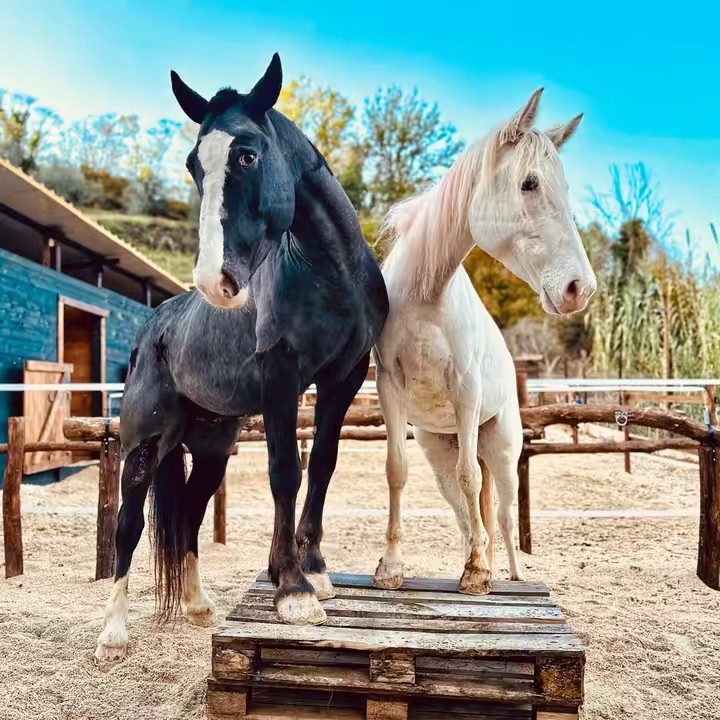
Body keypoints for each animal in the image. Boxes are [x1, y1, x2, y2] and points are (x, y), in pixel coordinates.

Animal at [95, 54, 389, 663]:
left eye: (247, 154)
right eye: (193, 165)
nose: (217, 281)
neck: (330, 273)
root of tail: (153, 327)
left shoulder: (344, 380)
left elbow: (322, 466)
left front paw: (314, 569)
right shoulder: (282, 379)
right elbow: (285, 471)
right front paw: (292, 588)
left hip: (209, 450)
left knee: (188, 516)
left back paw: (198, 605)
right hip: (141, 447)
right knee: (127, 526)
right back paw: (112, 634)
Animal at [372, 88, 596, 594]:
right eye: (529, 183)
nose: (580, 288)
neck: (425, 296)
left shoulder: (467, 392)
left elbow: (473, 479)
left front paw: (477, 573)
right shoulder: (389, 387)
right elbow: (396, 472)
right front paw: (391, 567)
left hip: (504, 451)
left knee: (504, 516)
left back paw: (508, 573)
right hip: (440, 450)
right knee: (463, 513)